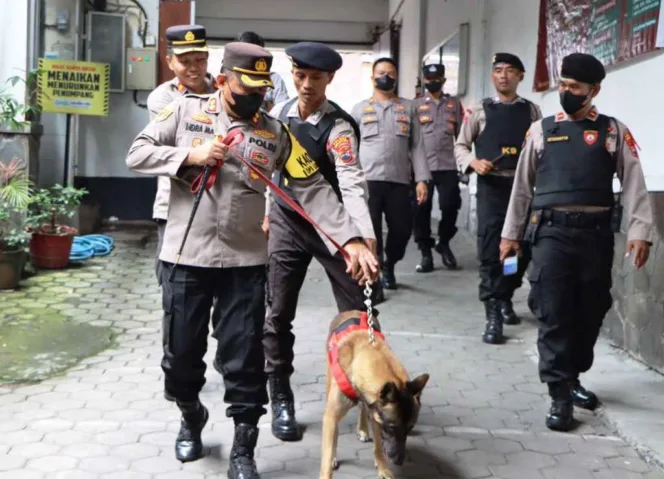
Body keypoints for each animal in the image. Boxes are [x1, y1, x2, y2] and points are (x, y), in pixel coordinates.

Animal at [318, 310, 430, 478]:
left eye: (410, 429)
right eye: (391, 428)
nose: (399, 461)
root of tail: (351, 311)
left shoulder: (377, 415)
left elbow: (378, 446)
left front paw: (383, 468)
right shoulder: (332, 416)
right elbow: (329, 450)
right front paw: (331, 460)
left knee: (362, 409)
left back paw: (363, 429)